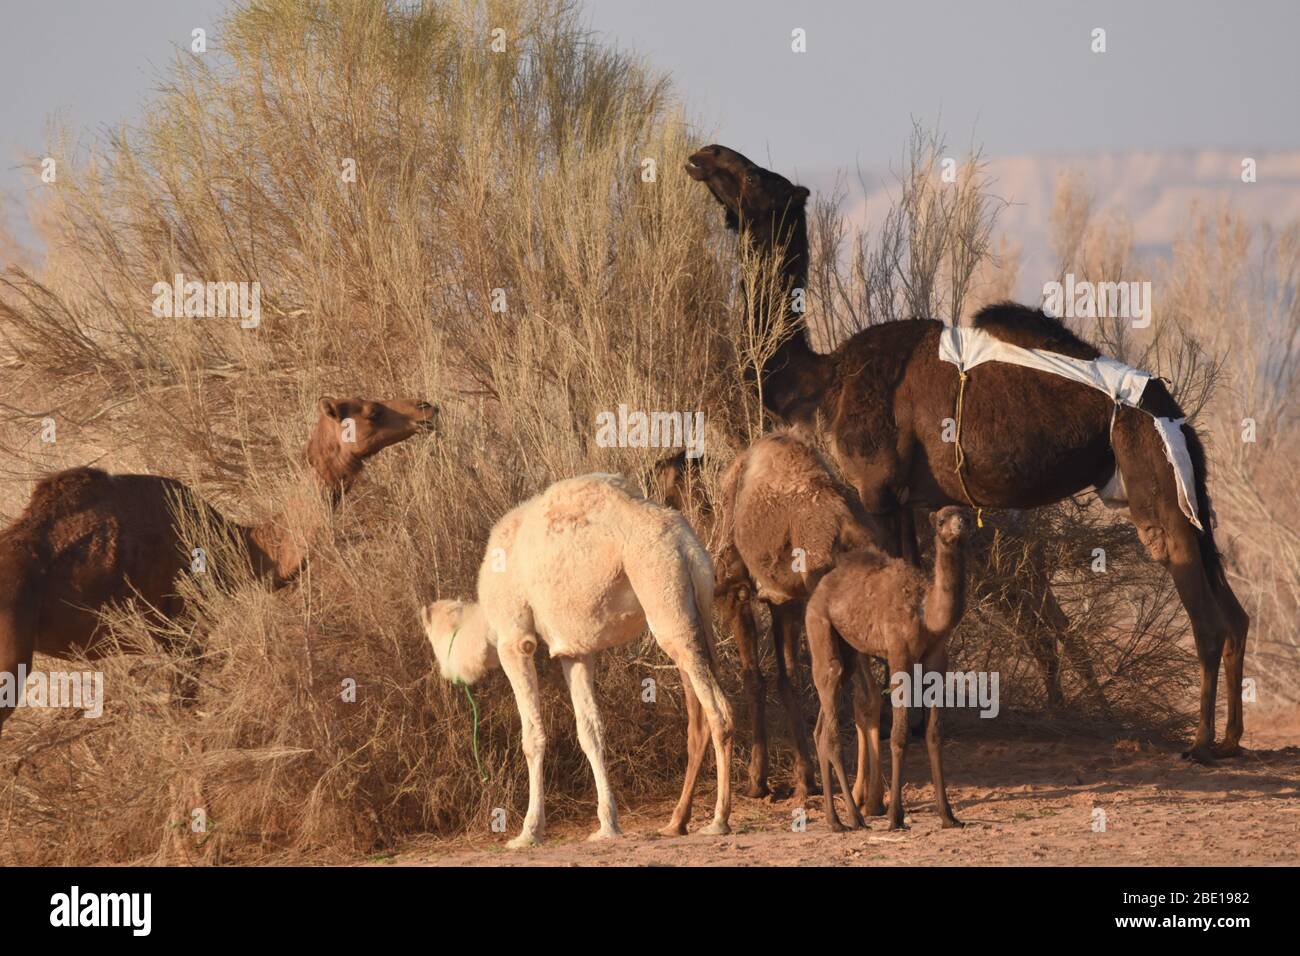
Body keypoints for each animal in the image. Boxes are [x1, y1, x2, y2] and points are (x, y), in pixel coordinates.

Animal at [423, 476, 733, 848]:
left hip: (660, 585)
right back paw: (677, 823)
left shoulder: (515, 638)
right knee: (699, 706)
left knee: (718, 711)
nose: (440, 676)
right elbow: (590, 732)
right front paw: (607, 826)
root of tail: (685, 542)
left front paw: (528, 833)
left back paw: (718, 820)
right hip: (698, 604)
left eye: (432, 639)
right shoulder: (575, 652)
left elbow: (532, 736)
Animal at [691, 143, 1248, 764]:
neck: (825, 379)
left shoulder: (875, 490)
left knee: (1206, 616)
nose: (704, 154)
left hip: (1153, 478)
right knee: (1236, 614)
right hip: (1187, 489)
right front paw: (912, 721)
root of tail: (1172, 410)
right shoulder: (906, 498)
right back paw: (1230, 739)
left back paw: (1201, 744)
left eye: (754, 179)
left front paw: (896, 721)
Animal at [800, 509, 977, 832]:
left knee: (821, 728)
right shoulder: (898, 655)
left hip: (846, 649)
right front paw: (896, 816)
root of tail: (819, 589)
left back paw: (836, 818)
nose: (960, 525)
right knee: (831, 729)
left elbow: (934, 733)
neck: (926, 613)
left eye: (966, 516)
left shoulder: (937, 659)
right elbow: (899, 734)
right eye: (941, 520)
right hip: (819, 626)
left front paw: (948, 816)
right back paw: (851, 819)